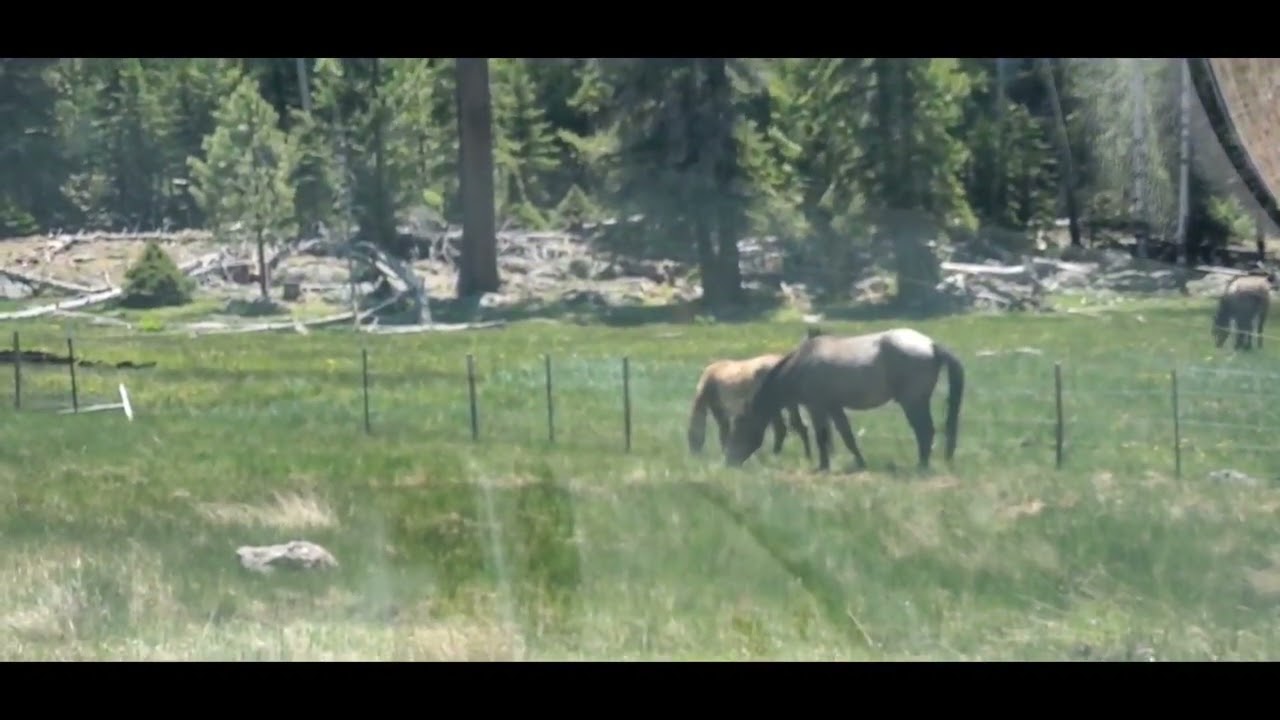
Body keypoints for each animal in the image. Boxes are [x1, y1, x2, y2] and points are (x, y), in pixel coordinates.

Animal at [724, 327, 966, 473]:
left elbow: (821, 436)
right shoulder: (834, 407)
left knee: (925, 431)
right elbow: (847, 436)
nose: (729, 462)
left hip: (913, 403)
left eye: (739, 429)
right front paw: (860, 463)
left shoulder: (817, 407)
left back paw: (921, 466)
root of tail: (931, 344)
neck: (801, 364)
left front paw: (823, 466)